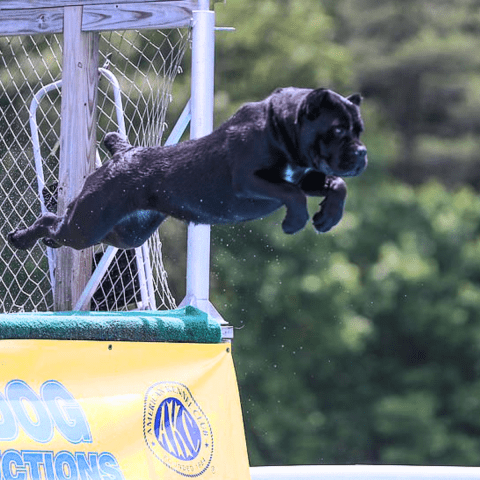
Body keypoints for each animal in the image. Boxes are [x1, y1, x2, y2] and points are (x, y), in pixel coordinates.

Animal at [7, 87, 366, 251]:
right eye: (337, 130)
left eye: (359, 130)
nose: (362, 152)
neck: (281, 128)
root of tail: (126, 152)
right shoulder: (247, 180)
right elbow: (291, 193)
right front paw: (295, 222)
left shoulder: (308, 176)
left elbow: (337, 184)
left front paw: (327, 218)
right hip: (88, 222)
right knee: (53, 220)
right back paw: (21, 238)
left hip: (126, 233)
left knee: (63, 227)